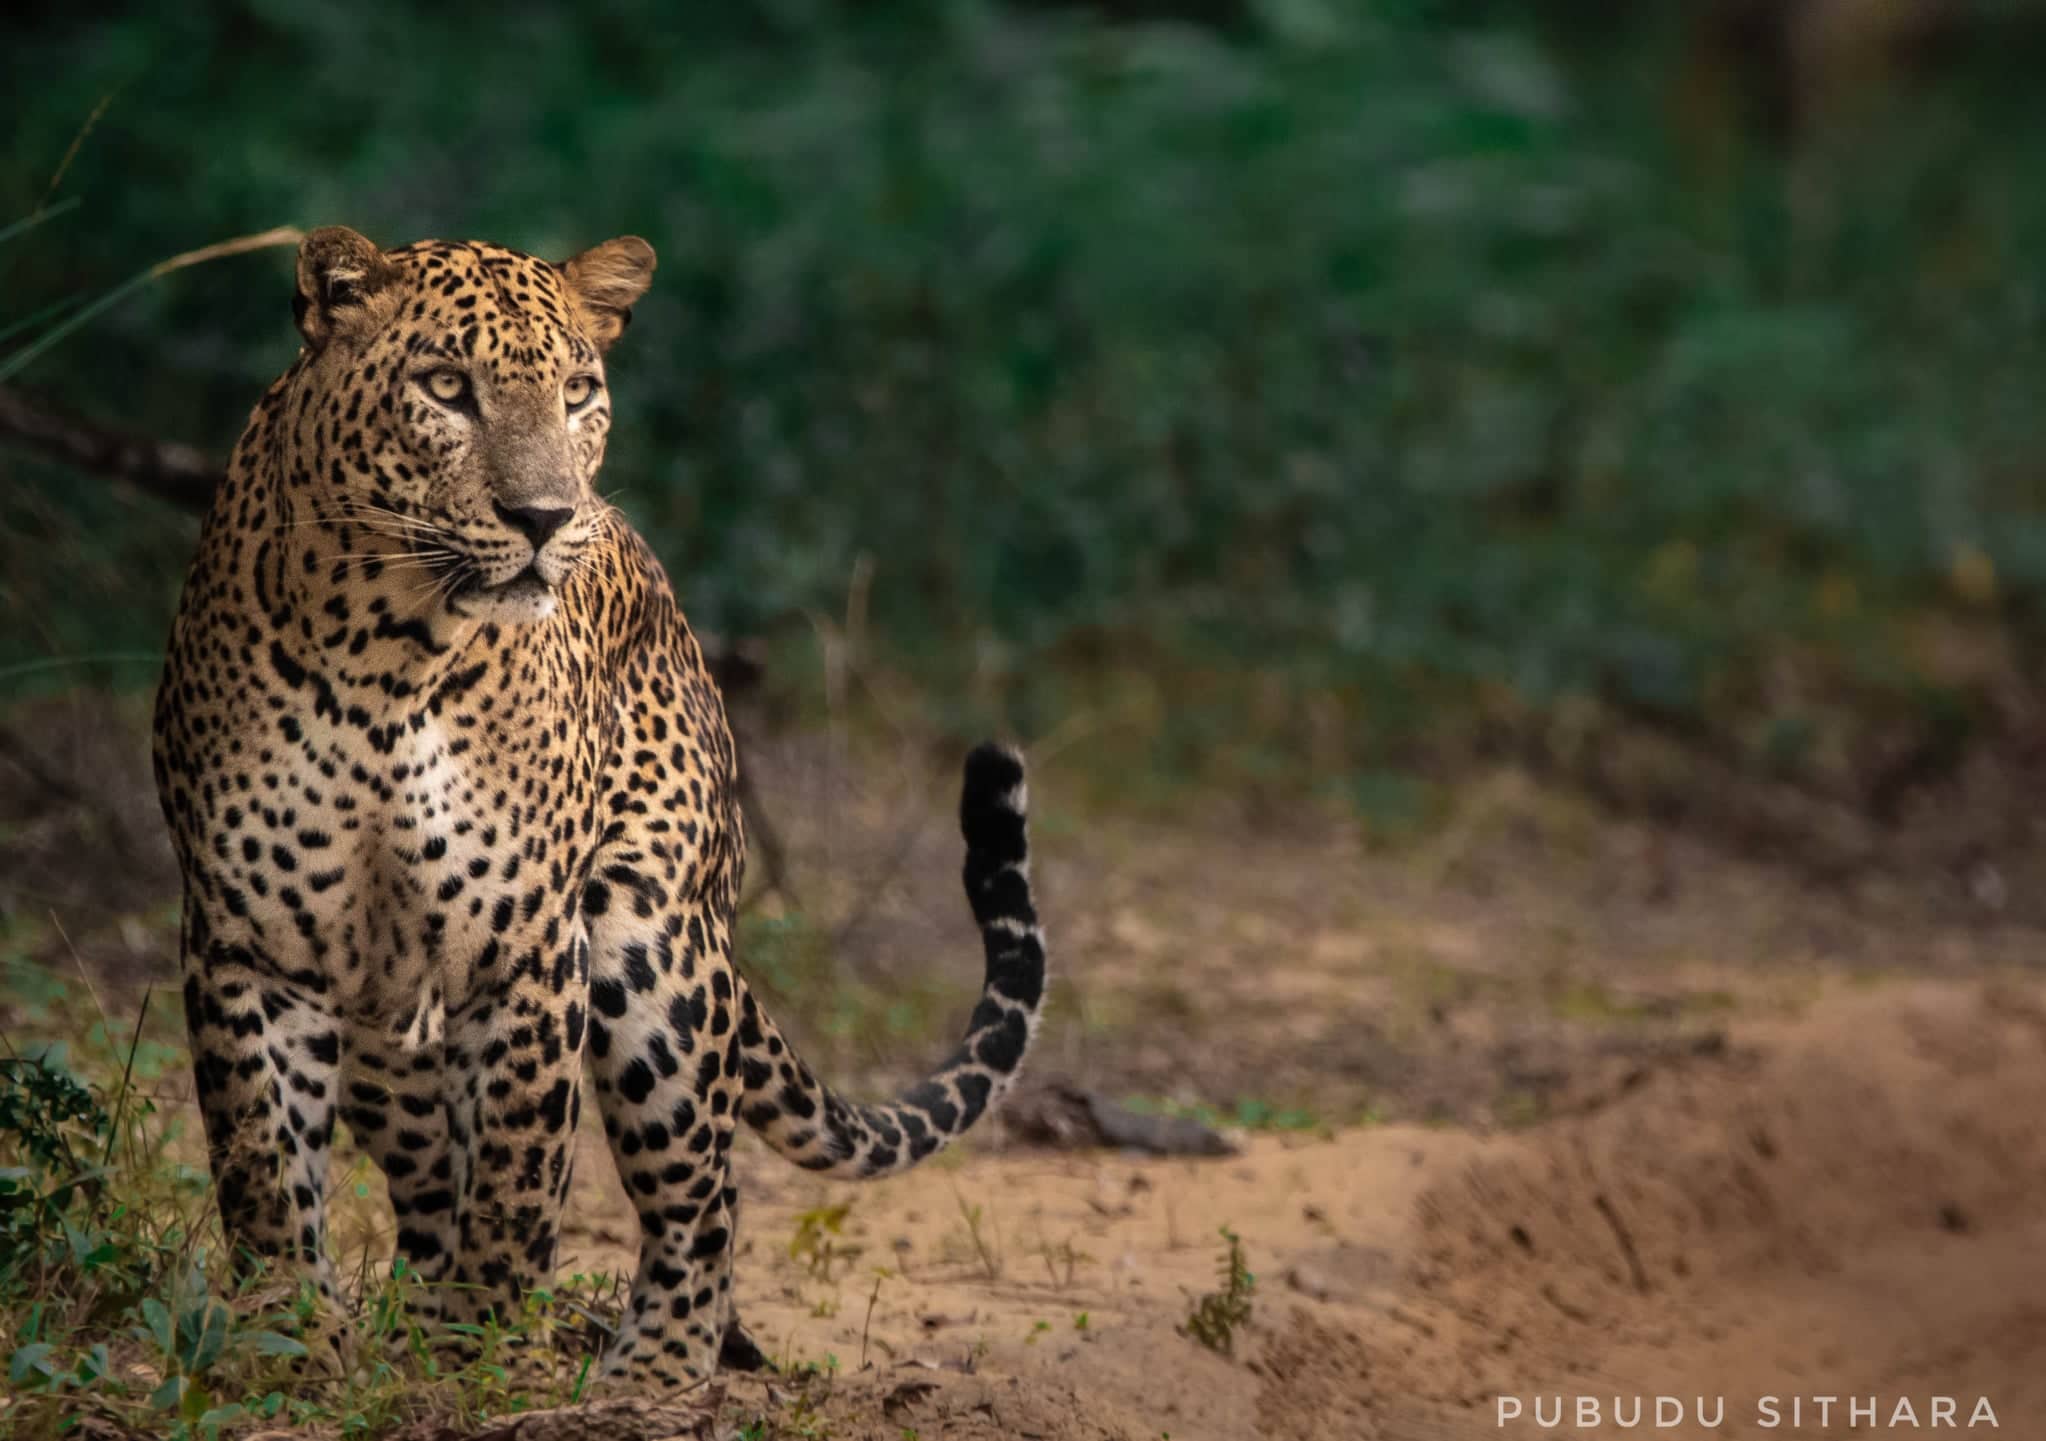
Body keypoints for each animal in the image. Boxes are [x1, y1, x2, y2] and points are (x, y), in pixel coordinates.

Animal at [150, 225, 1048, 1389]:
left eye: (577, 393)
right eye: (447, 387)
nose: (543, 518)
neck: (385, 656)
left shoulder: (530, 946)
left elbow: (518, 1178)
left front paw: (480, 1354)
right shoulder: (245, 941)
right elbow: (262, 1163)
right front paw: (295, 1345)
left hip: (653, 948)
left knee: (703, 1193)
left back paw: (654, 1368)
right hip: (392, 1032)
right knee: (430, 1182)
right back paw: (410, 1323)